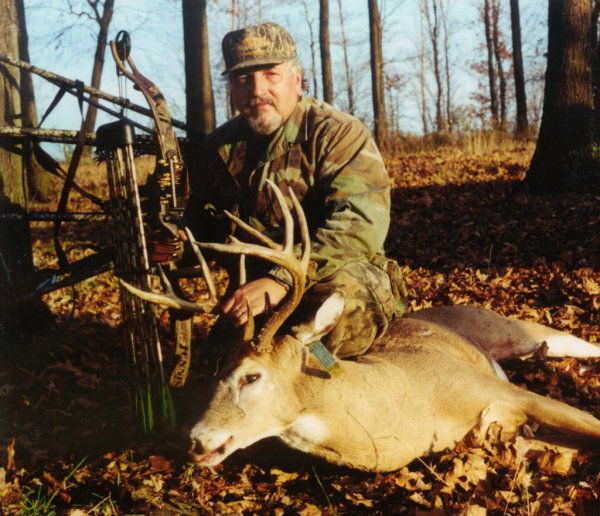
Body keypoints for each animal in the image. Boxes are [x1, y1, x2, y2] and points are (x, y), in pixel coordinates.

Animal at [118, 180, 600, 472]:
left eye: (251, 376)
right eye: (215, 374)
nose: (197, 440)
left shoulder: (500, 391)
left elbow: (588, 423)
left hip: (507, 330)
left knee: (570, 341)